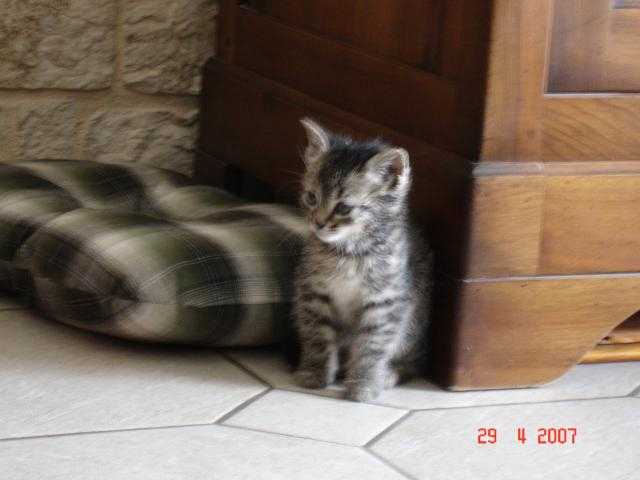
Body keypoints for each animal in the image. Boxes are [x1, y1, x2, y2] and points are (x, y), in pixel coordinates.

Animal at [292, 118, 433, 402]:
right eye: (311, 197)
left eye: (343, 208)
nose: (318, 223)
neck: (349, 253)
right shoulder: (312, 291)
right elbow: (317, 336)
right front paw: (315, 374)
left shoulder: (386, 301)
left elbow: (372, 346)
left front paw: (363, 385)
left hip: (413, 325)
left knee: (414, 361)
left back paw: (389, 374)